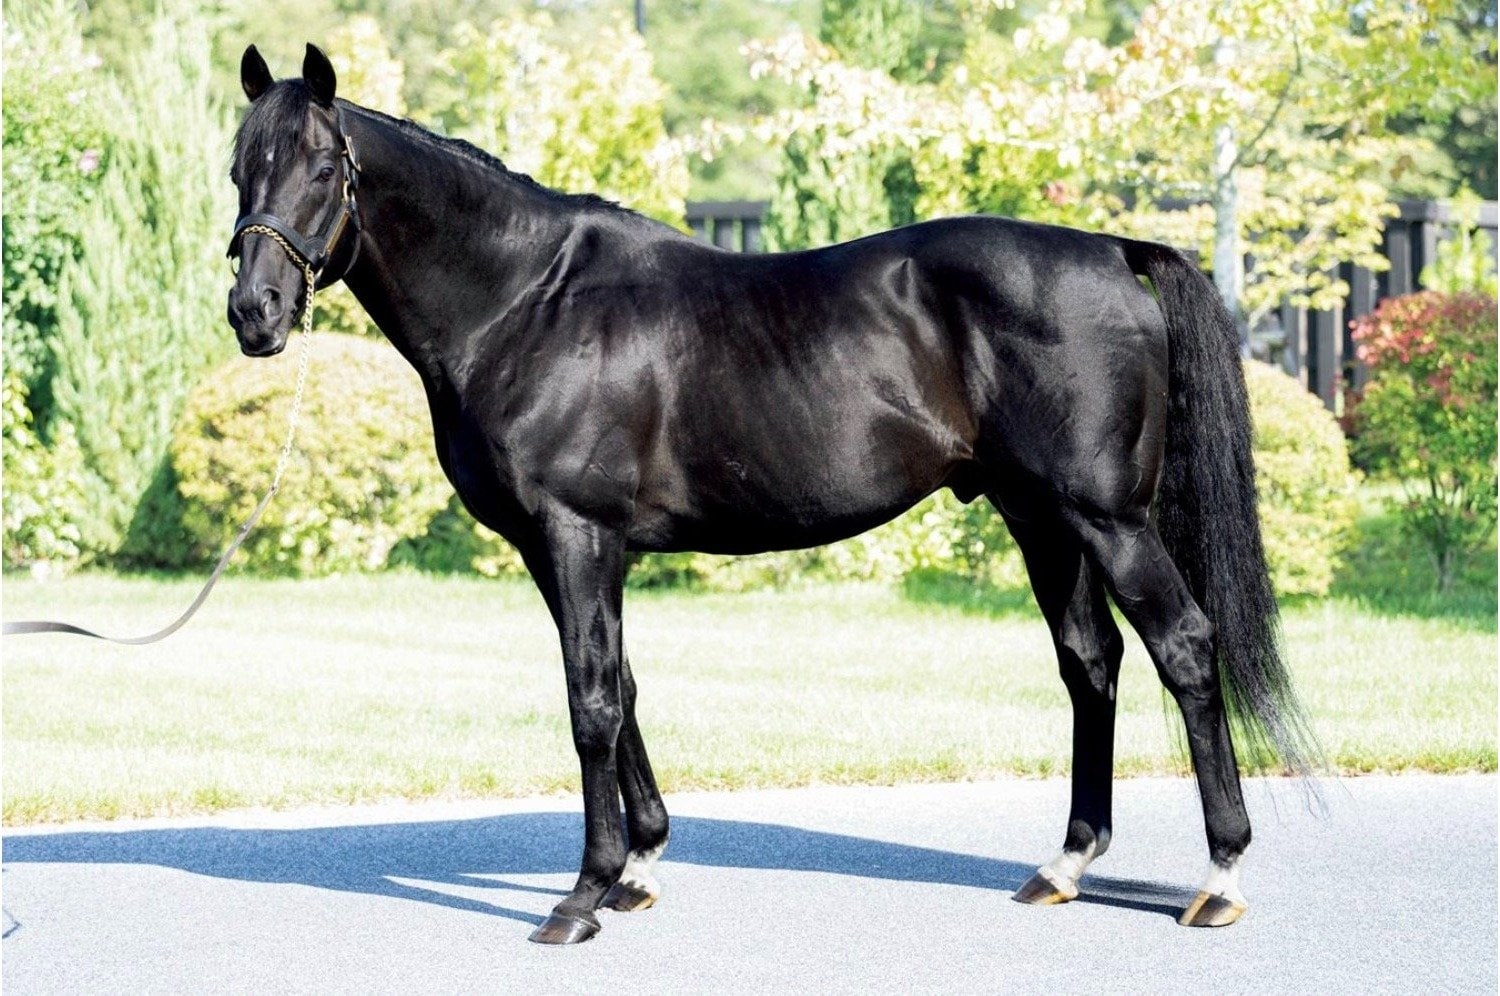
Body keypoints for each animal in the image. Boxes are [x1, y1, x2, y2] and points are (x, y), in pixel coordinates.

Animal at [226, 44, 1313, 944]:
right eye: (240, 168)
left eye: (320, 168)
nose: (253, 313)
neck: (528, 302)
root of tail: (1112, 249)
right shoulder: (561, 548)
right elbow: (621, 685)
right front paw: (641, 865)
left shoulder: (577, 537)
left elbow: (589, 701)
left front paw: (583, 895)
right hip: (1041, 516)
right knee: (1091, 663)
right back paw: (1067, 863)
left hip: (1107, 518)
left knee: (1185, 647)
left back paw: (1220, 876)